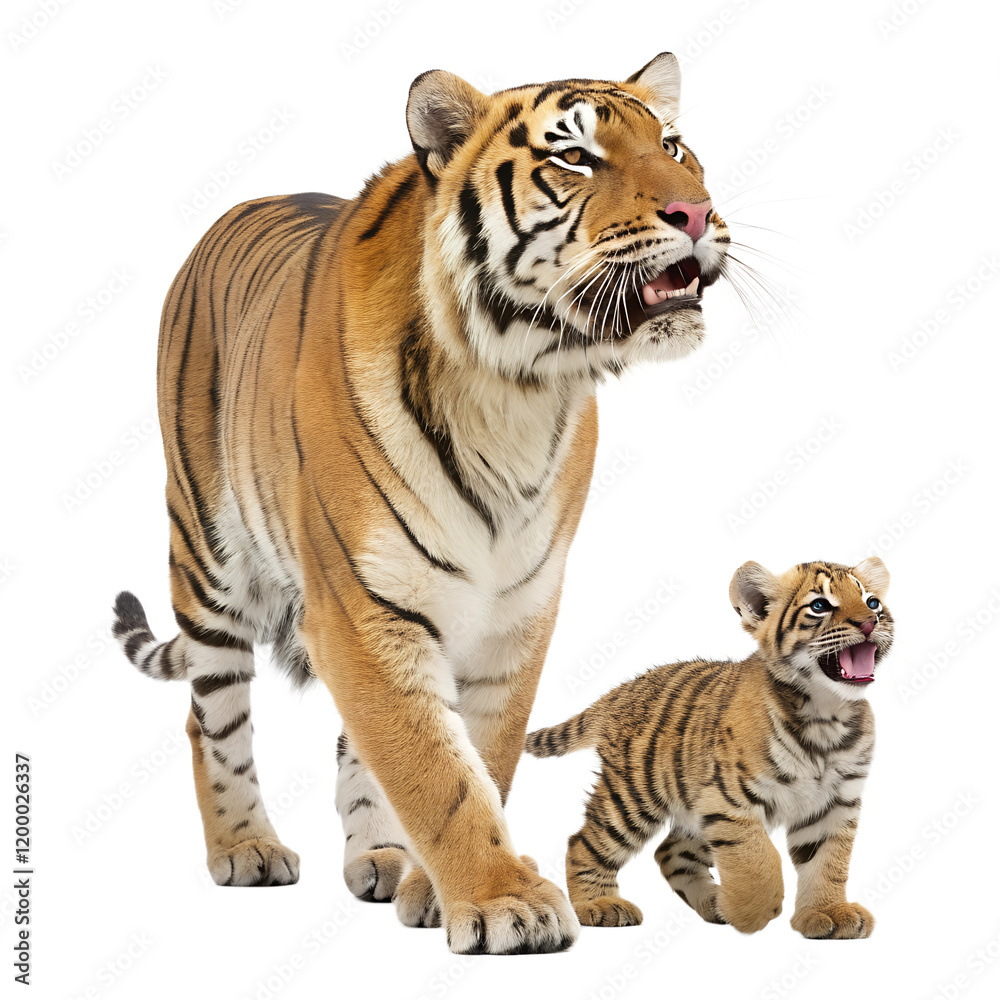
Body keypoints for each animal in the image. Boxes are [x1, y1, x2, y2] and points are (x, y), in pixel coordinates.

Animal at [110, 53, 731, 955]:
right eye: (575, 158)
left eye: (675, 146)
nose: (698, 213)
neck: (516, 386)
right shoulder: (361, 605)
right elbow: (433, 768)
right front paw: (505, 902)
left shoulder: (516, 609)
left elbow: (478, 754)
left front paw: (439, 890)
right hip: (209, 559)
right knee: (212, 718)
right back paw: (246, 848)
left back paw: (380, 860)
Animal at [525, 557, 893, 939]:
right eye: (820, 605)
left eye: (872, 602)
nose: (870, 621)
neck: (826, 714)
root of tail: (620, 690)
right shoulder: (728, 801)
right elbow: (759, 860)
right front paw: (750, 913)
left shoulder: (833, 803)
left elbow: (827, 863)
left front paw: (828, 912)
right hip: (631, 798)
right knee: (583, 842)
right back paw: (598, 905)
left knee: (669, 852)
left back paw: (714, 903)